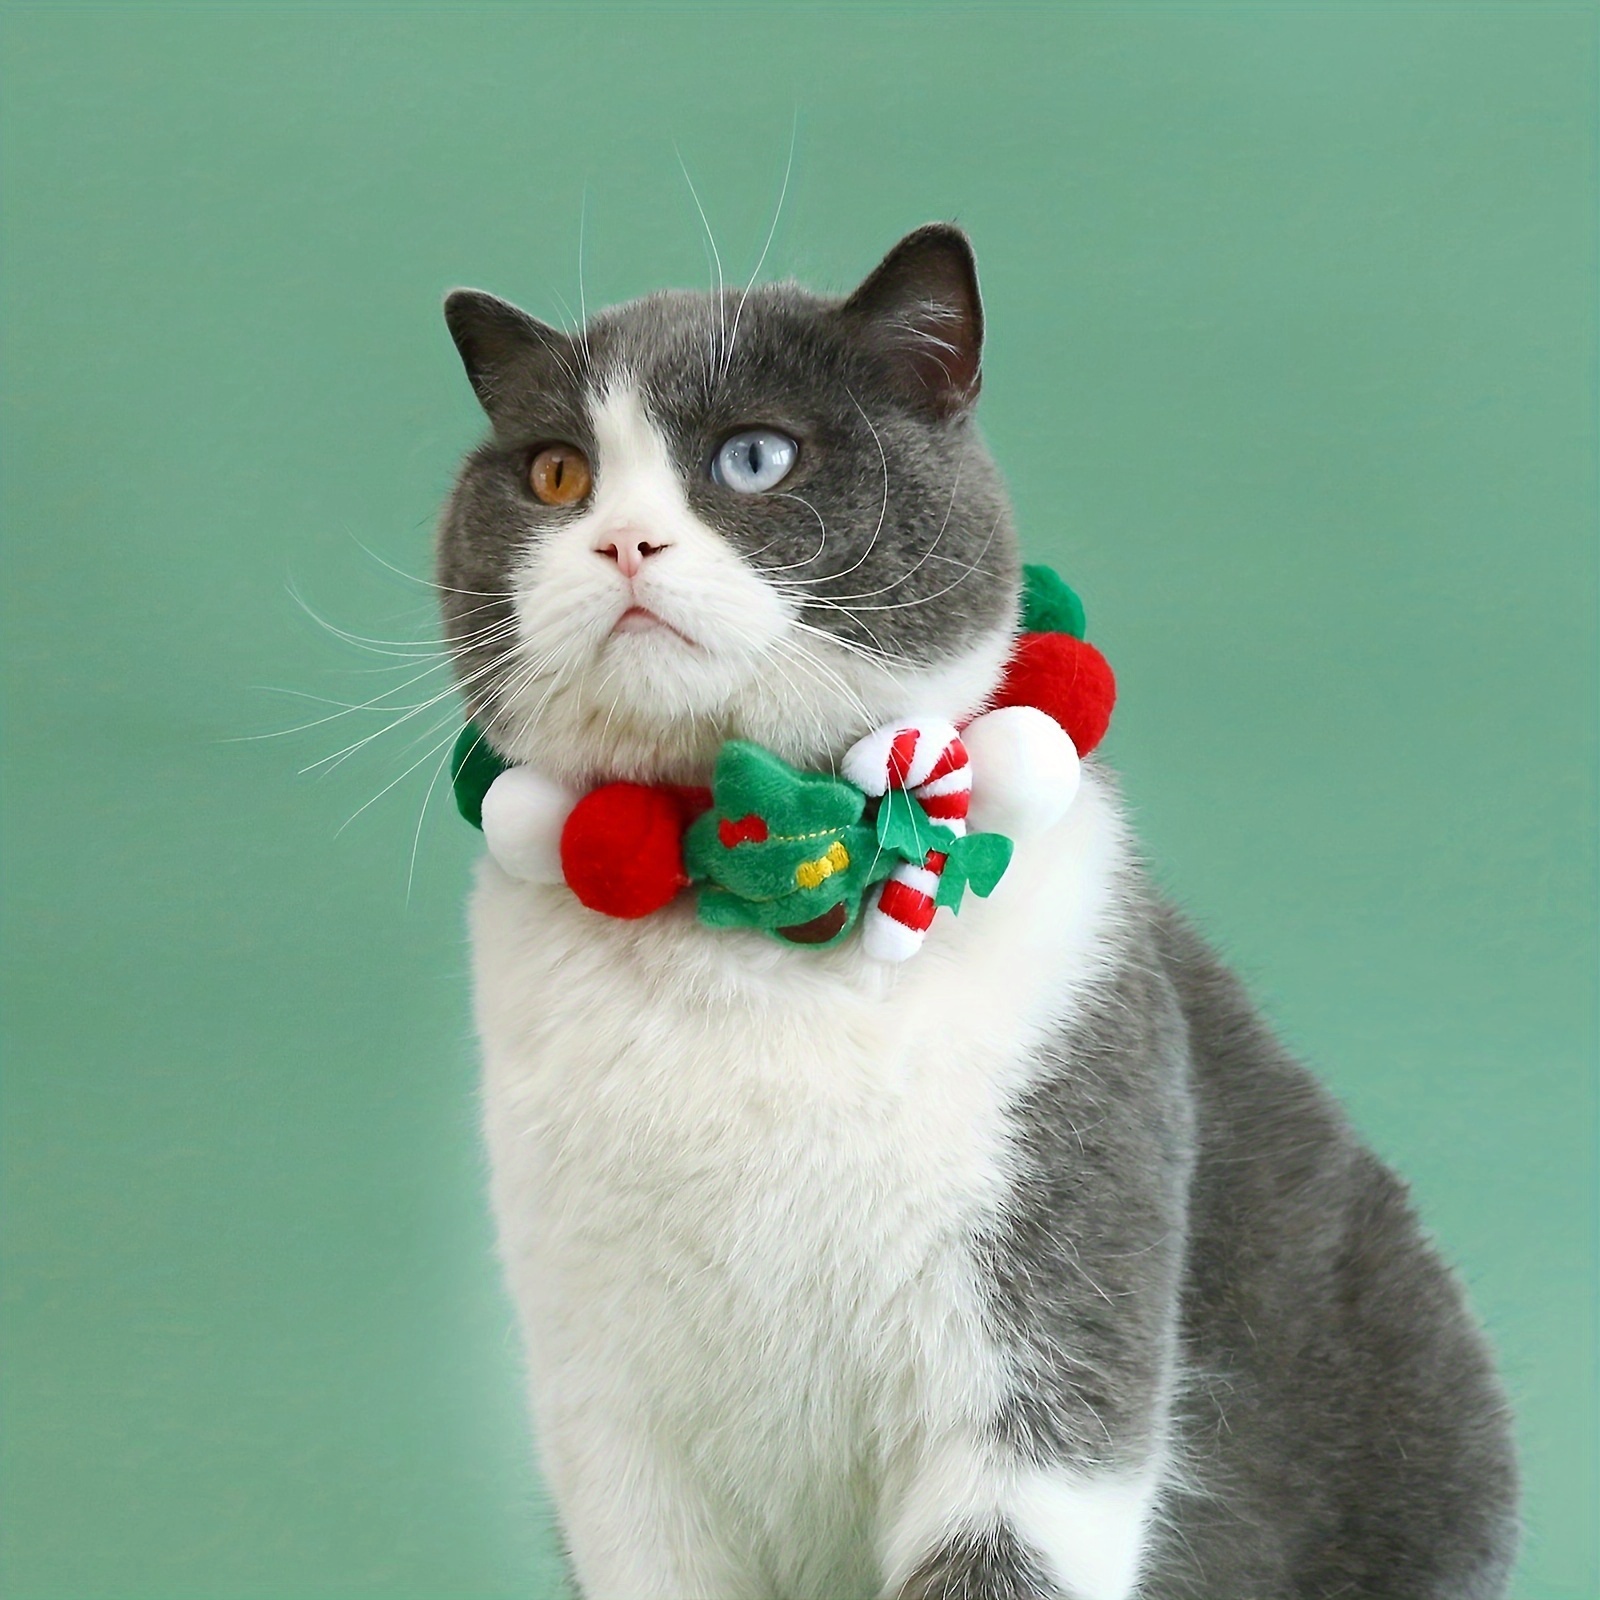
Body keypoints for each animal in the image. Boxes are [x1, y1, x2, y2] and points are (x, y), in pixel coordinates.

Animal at [435, 225, 1510, 1600]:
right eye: (558, 473)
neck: (756, 931)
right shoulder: (605, 1418)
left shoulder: (1052, 1308)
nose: (621, 542)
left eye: (753, 456)